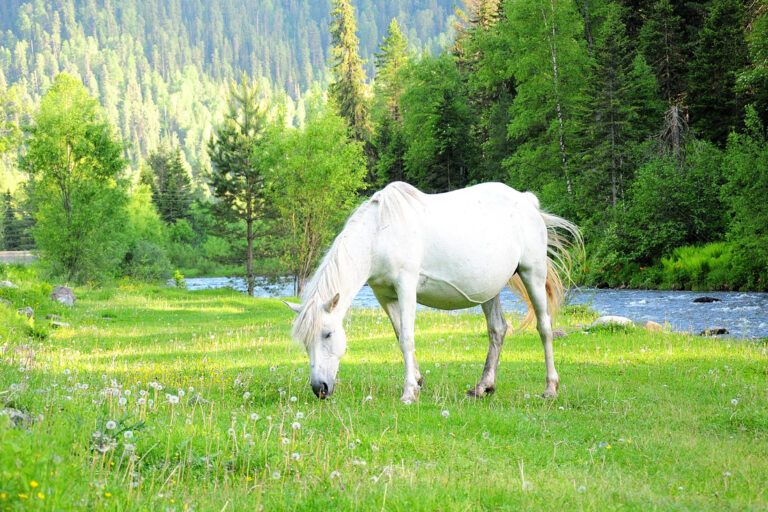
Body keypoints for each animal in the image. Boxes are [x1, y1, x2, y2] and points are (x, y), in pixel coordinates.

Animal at [284, 181, 582, 403]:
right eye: (305, 342)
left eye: (327, 334)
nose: (320, 389)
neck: (379, 232)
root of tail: (527, 201)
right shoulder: (384, 295)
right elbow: (399, 336)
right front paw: (416, 381)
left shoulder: (406, 287)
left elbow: (407, 338)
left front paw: (408, 393)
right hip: (490, 290)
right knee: (497, 330)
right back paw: (483, 387)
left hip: (533, 274)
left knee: (544, 328)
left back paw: (550, 388)